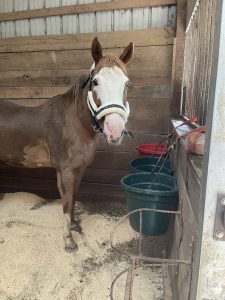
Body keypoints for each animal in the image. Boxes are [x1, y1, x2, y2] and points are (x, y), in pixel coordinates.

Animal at [0, 38, 134, 253]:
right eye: (96, 82)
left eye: (127, 83)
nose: (115, 130)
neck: (75, 123)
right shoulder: (66, 171)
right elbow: (66, 202)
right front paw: (69, 241)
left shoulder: (79, 170)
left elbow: (73, 200)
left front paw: (73, 226)